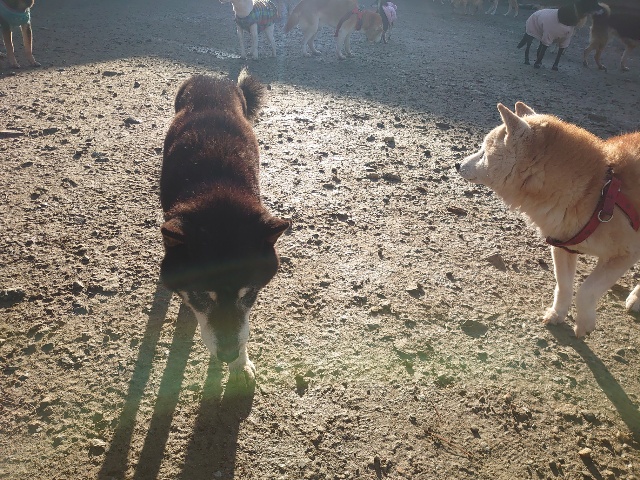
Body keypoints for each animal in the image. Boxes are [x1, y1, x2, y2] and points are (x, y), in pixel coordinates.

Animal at [160, 72, 290, 386]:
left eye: (248, 295)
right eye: (202, 296)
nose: (228, 356)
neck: (218, 198)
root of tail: (213, 79)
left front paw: (240, 365)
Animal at [457, 101, 640, 338]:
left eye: (483, 152)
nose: (457, 164)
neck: (596, 191)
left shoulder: (623, 255)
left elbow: (586, 291)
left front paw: (584, 323)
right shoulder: (563, 246)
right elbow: (564, 286)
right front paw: (557, 314)